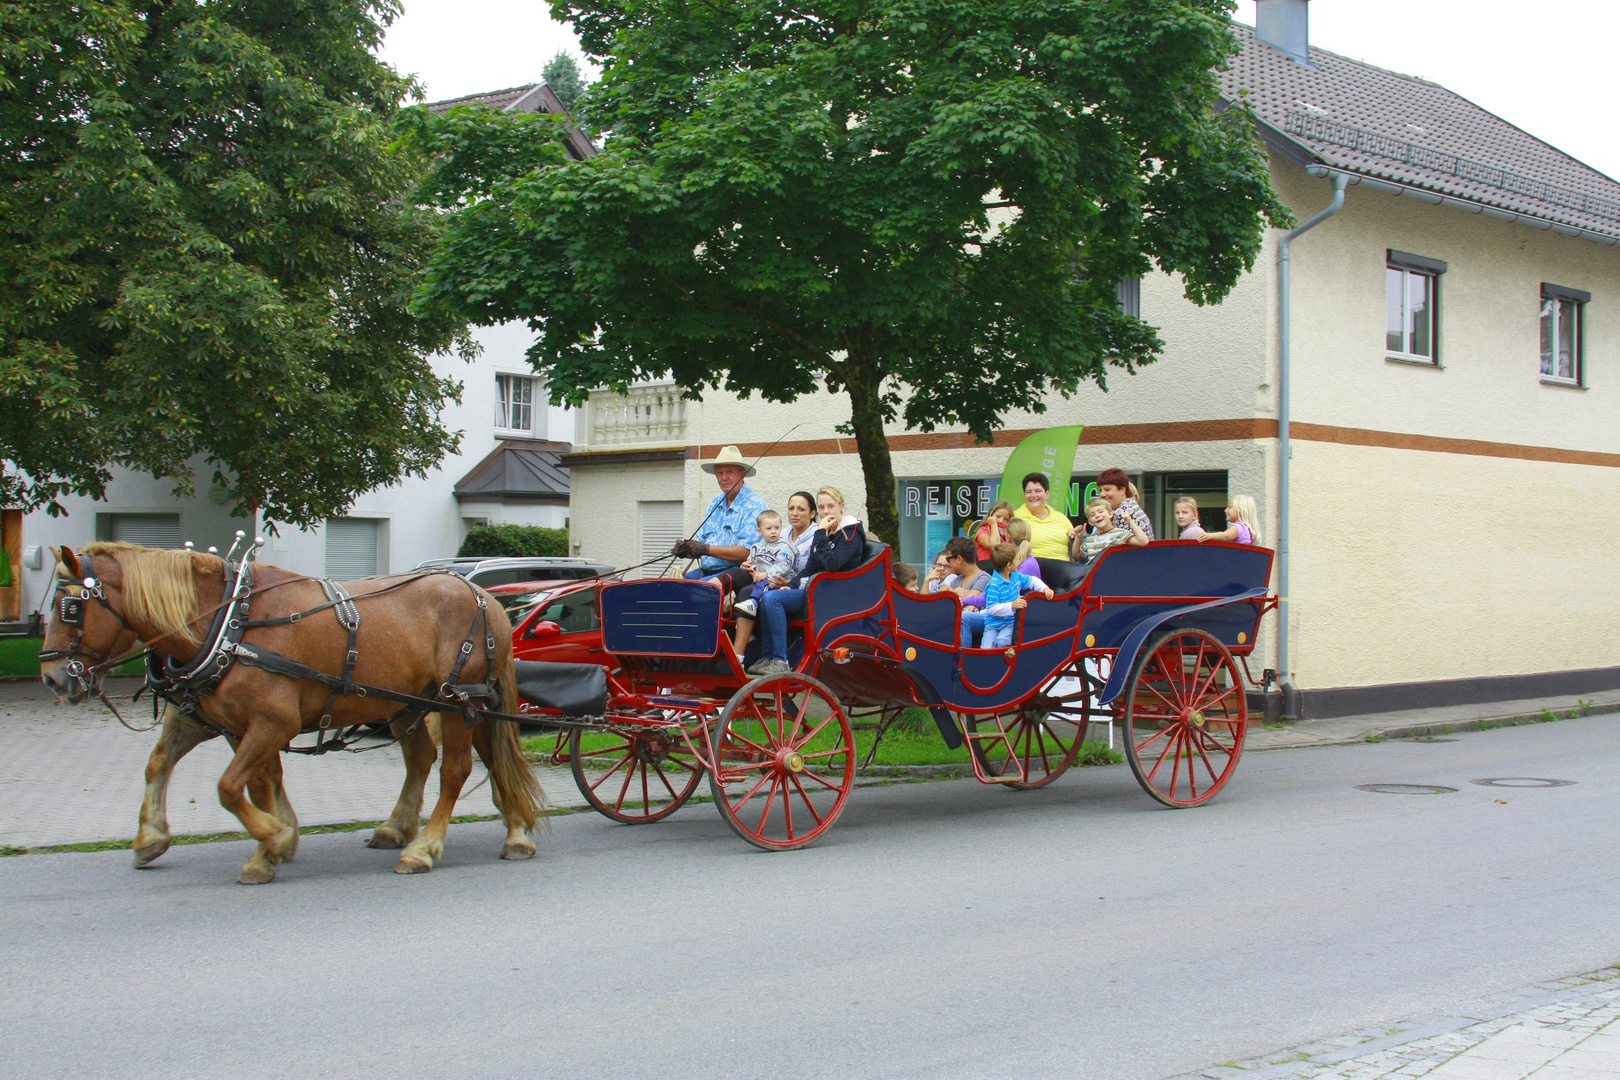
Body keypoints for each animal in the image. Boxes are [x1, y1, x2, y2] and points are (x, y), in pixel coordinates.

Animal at [36, 544, 544, 880]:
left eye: (70, 607)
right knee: (448, 758)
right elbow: (190, 768)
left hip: (457, 701)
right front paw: (156, 838)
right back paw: (502, 831)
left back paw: (425, 846)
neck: (228, 623)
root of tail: (482, 596)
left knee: (456, 769)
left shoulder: (273, 723)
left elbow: (228, 787)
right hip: (417, 703)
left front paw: (275, 838)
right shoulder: (221, 722)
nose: (53, 678)